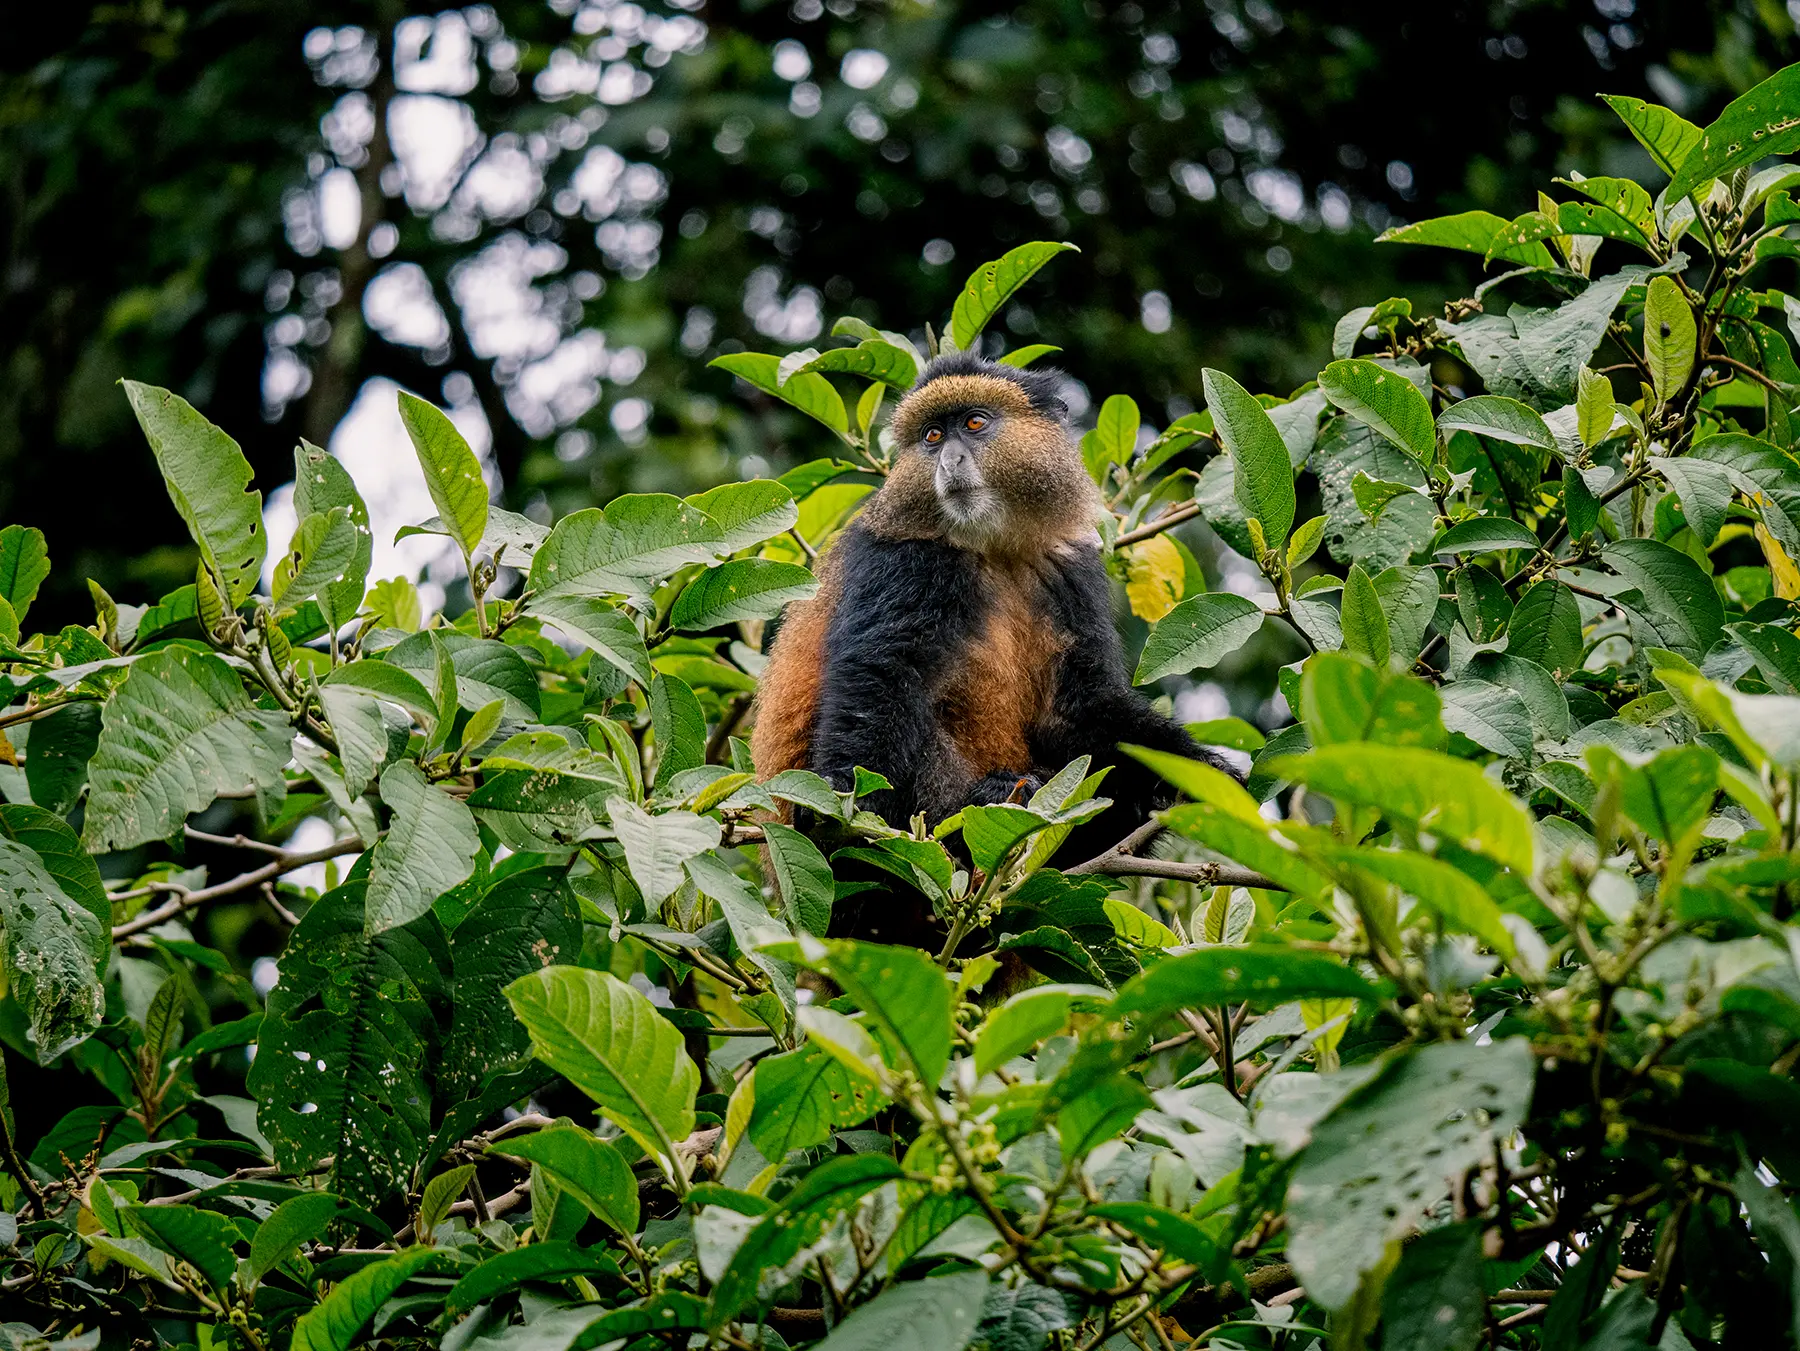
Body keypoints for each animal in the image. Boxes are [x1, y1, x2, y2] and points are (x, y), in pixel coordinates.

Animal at [750, 350, 1235, 858]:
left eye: (975, 422)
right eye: (933, 436)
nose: (950, 460)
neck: (993, 548)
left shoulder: (1070, 564)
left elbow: (1078, 705)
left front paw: (1205, 769)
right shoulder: (907, 560)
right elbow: (882, 674)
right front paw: (841, 796)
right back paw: (982, 804)